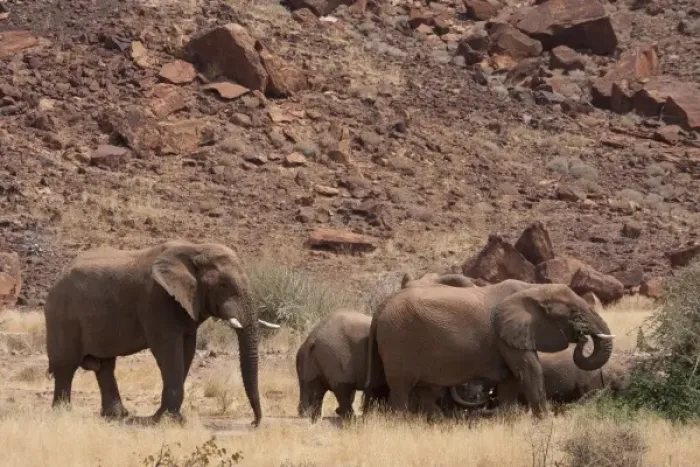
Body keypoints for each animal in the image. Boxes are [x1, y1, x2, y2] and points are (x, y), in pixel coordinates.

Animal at [44, 240, 280, 427]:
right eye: (223, 285)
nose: (254, 423)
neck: (195, 248)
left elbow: (187, 350)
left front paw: (169, 417)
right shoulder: (155, 301)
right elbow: (168, 350)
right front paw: (170, 420)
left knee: (105, 366)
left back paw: (117, 416)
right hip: (61, 316)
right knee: (66, 366)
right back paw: (63, 413)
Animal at [365, 281, 615, 419]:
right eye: (574, 313)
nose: (582, 336)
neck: (534, 289)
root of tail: (381, 307)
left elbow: (512, 380)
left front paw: (509, 420)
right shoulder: (507, 334)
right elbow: (530, 371)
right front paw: (546, 422)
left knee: (423, 390)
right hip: (398, 341)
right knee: (401, 388)